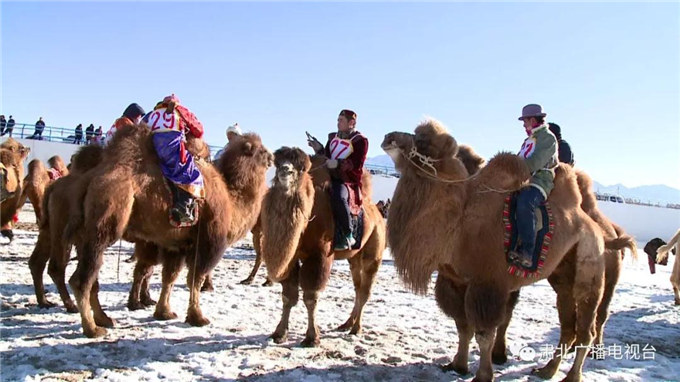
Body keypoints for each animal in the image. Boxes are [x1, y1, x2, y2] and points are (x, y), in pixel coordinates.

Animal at [65, 123, 270, 338]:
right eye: (262, 151)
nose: (273, 157)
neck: (231, 199)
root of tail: (88, 177)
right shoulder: (207, 241)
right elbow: (195, 278)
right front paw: (197, 317)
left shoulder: (176, 244)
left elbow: (169, 277)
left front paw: (164, 312)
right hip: (105, 220)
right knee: (82, 279)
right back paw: (93, 328)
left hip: (85, 232)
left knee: (93, 277)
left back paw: (104, 319)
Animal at [262, 146, 388, 346]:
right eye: (277, 162)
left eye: (302, 168)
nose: (285, 170)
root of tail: (378, 214)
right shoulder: (292, 257)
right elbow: (288, 296)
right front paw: (279, 333)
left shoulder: (320, 255)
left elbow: (311, 297)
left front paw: (312, 338)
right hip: (354, 259)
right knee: (358, 287)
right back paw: (346, 324)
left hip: (374, 254)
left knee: (365, 291)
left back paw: (356, 329)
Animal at [382, 119, 612, 382]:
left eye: (423, 142)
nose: (389, 137)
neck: (459, 222)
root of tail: (594, 226)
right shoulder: (455, 280)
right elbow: (463, 327)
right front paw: (457, 365)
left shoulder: (487, 283)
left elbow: (483, 334)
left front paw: (483, 375)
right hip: (562, 277)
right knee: (567, 328)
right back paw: (547, 370)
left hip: (589, 268)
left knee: (585, 328)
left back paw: (571, 376)